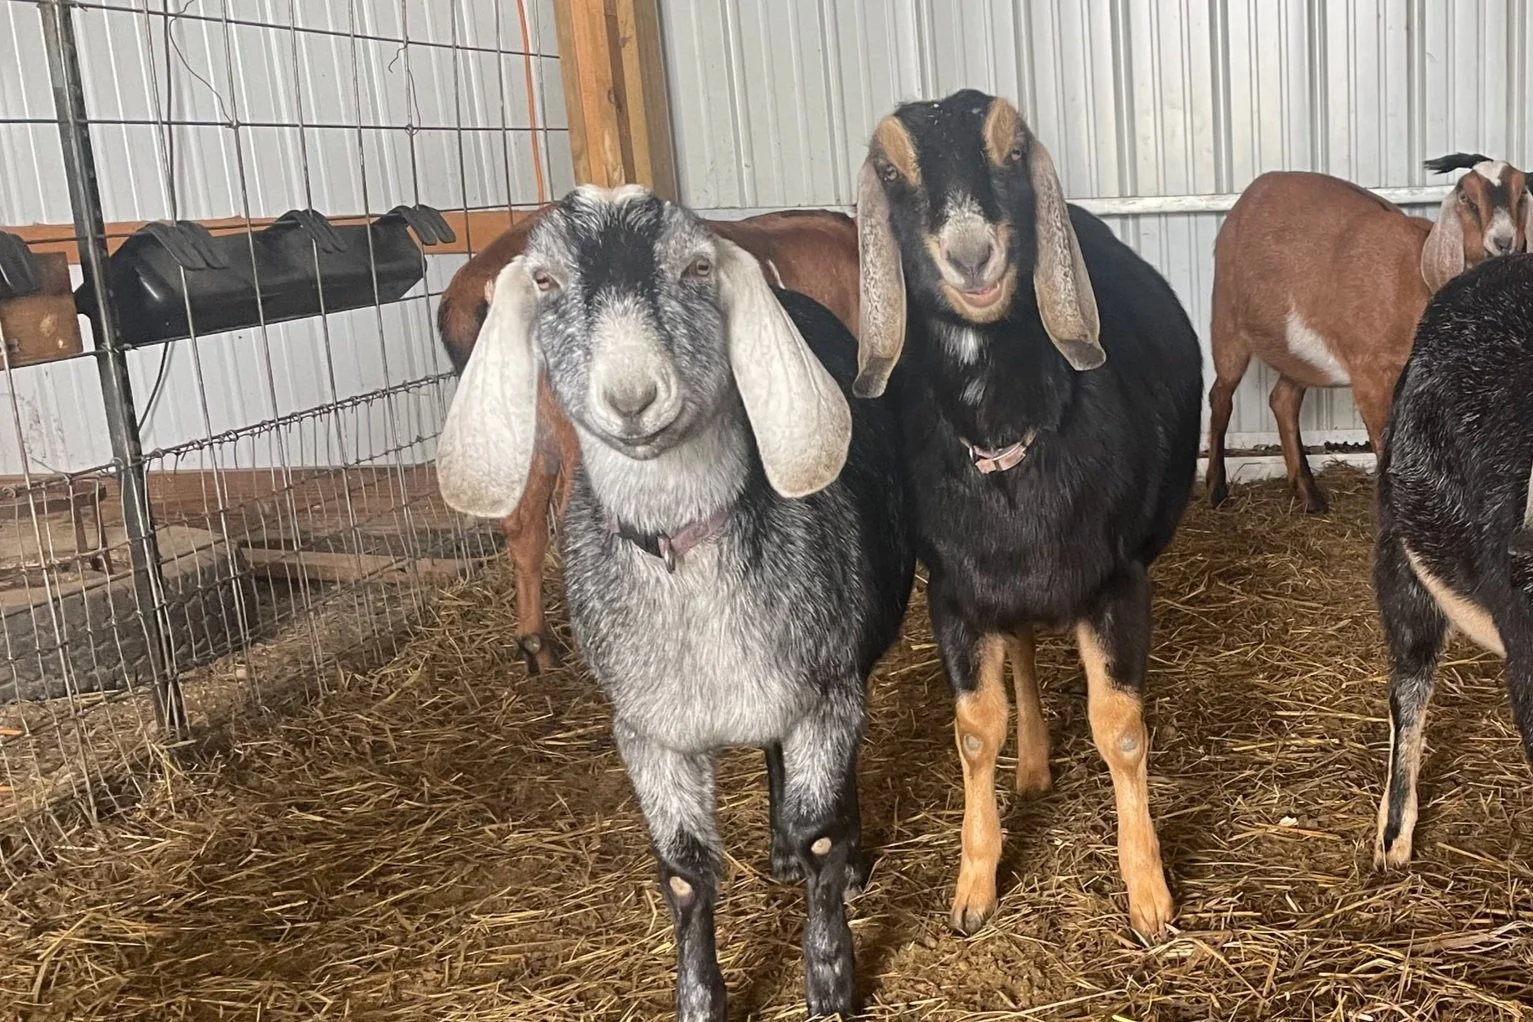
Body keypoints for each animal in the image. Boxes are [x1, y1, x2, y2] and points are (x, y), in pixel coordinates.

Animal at [854, 90, 1203, 938]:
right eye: (891, 171)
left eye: (1011, 154)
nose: (971, 255)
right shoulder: (954, 594)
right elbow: (977, 730)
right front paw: (971, 891)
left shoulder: (1117, 582)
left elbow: (1121, 729)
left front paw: (1149, 897)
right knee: (1019, 656)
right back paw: (1037, 767)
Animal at [1206, 154, 1532, 513]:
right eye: (1467, 198)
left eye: (1521, 194)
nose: (1503, 242)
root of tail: (1247, 198)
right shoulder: (1371, 377)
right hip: (1227, 322)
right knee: (1221, 396)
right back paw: (1217, 488)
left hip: (1296, 352)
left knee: (1283, 401)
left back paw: (1309, 495)